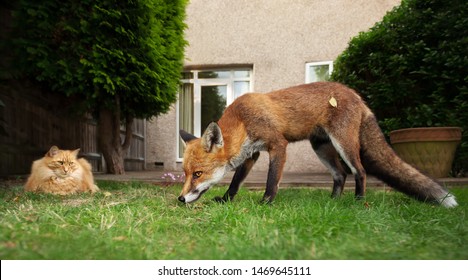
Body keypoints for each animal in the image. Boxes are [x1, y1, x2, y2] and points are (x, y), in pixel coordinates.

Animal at [178, 81, 458, 208]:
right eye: (186, 173)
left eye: (198, 174)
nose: (180, 199)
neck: (243, 120)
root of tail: (356, 95)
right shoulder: (251, 155)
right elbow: (235, 182)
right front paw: (225, 200)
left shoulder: (277, 145)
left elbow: (272, 179)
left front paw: (266, 202)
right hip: (321, 148)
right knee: (340, 174)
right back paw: (333, 201)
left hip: (344, 144)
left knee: (359, 171)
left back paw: (358, 201)